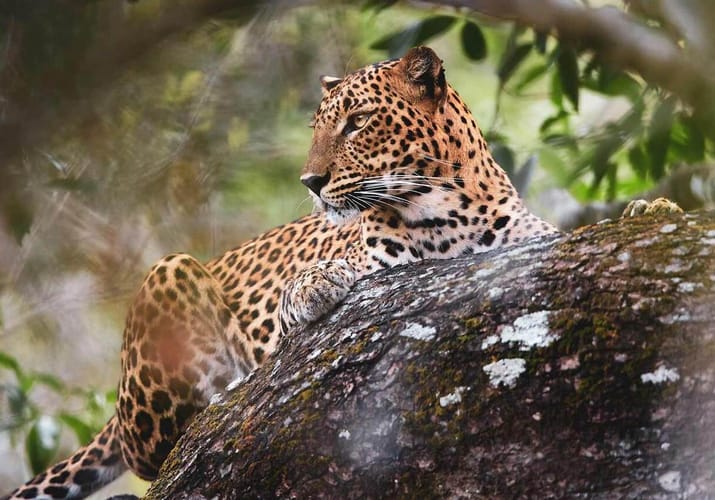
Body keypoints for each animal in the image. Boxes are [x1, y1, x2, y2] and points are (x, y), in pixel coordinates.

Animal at [4, 46, 559, 499]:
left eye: (358, 122)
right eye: (317, 129)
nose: (311, 181)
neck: (449, 211)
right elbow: (318, 283)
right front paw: (315, 283)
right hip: (170, 272)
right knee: (155, 452)